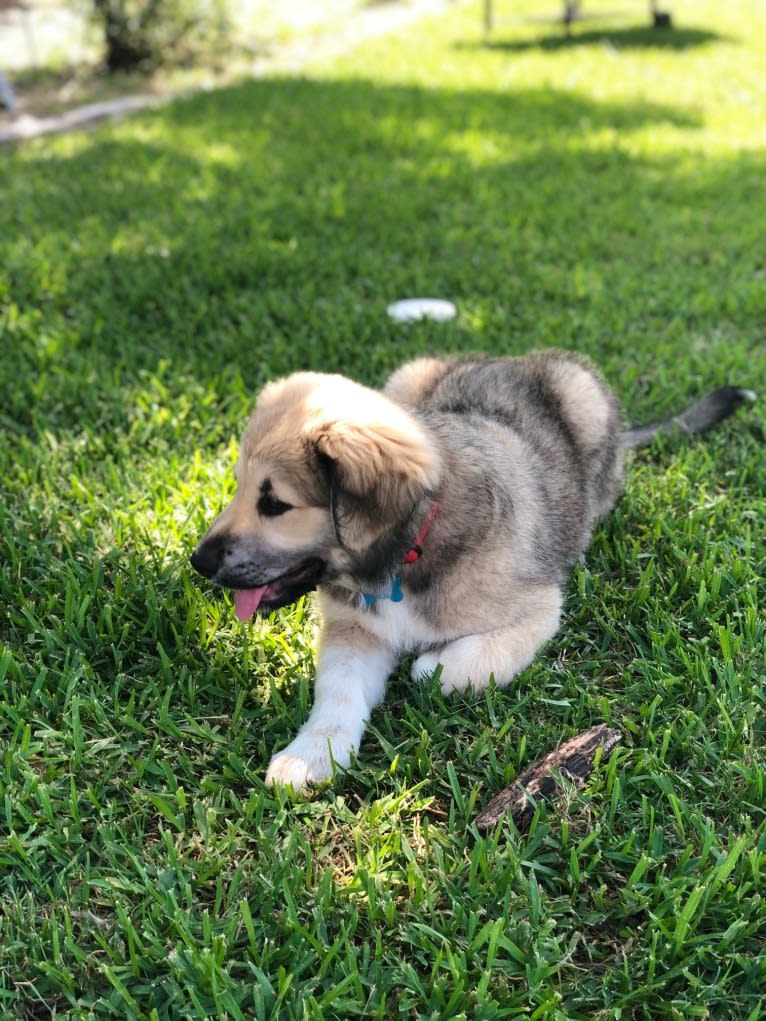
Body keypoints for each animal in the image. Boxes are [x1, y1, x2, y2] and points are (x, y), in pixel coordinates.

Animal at [188, 351, 751, 788]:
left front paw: (427, 666)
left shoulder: (539, 609)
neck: (409, 556)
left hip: (584, 395)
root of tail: (512, 359)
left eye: (275, 504)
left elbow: (455, 666)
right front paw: (311, 755)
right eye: (239, 487)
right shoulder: (355, 627)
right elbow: (338, 691)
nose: (198, 562)